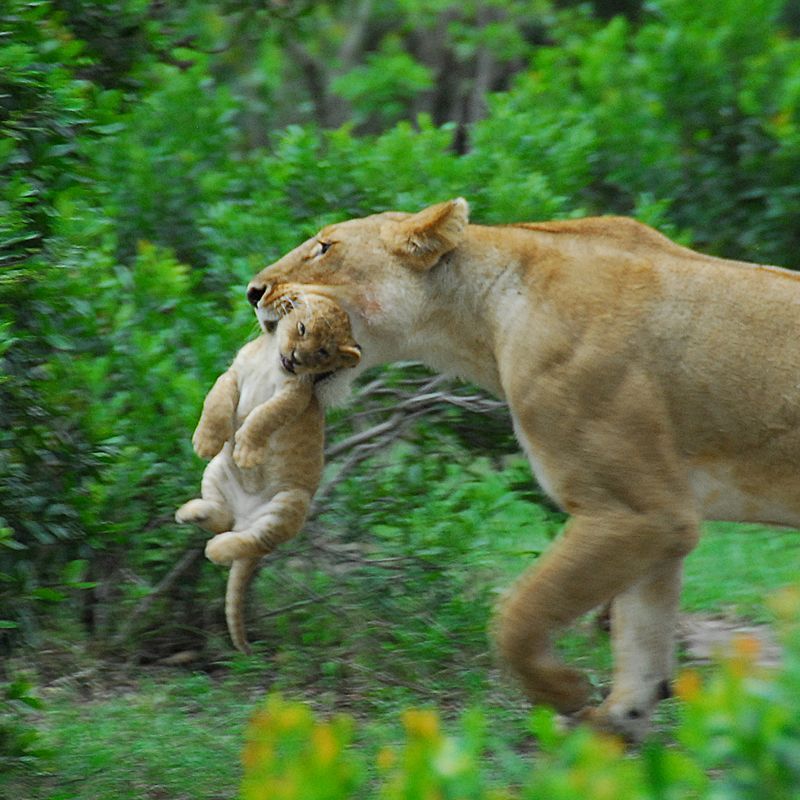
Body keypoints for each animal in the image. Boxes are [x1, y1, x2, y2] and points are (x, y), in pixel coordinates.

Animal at [175, 294, 360, 653]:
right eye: (302, 328)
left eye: (323, 353)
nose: (296, 359)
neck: (270, 361)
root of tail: (244, 516)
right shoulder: (235, 371)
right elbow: (217, 397)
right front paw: (206, 440)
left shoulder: (294, 397)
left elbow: (264, 416)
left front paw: (247, 452)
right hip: (216, 472)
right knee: (222, 518)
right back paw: (190, 513)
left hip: (290, 503)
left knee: (253, 543)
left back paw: (216, 549)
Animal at [244, 198, 800, 739]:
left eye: (324, 247)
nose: (252, 291)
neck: (483, 318)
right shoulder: (663, 519)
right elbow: (643, 639)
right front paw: (614, 728)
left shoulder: (643, 511)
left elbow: (518, 616)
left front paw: (568, 692)